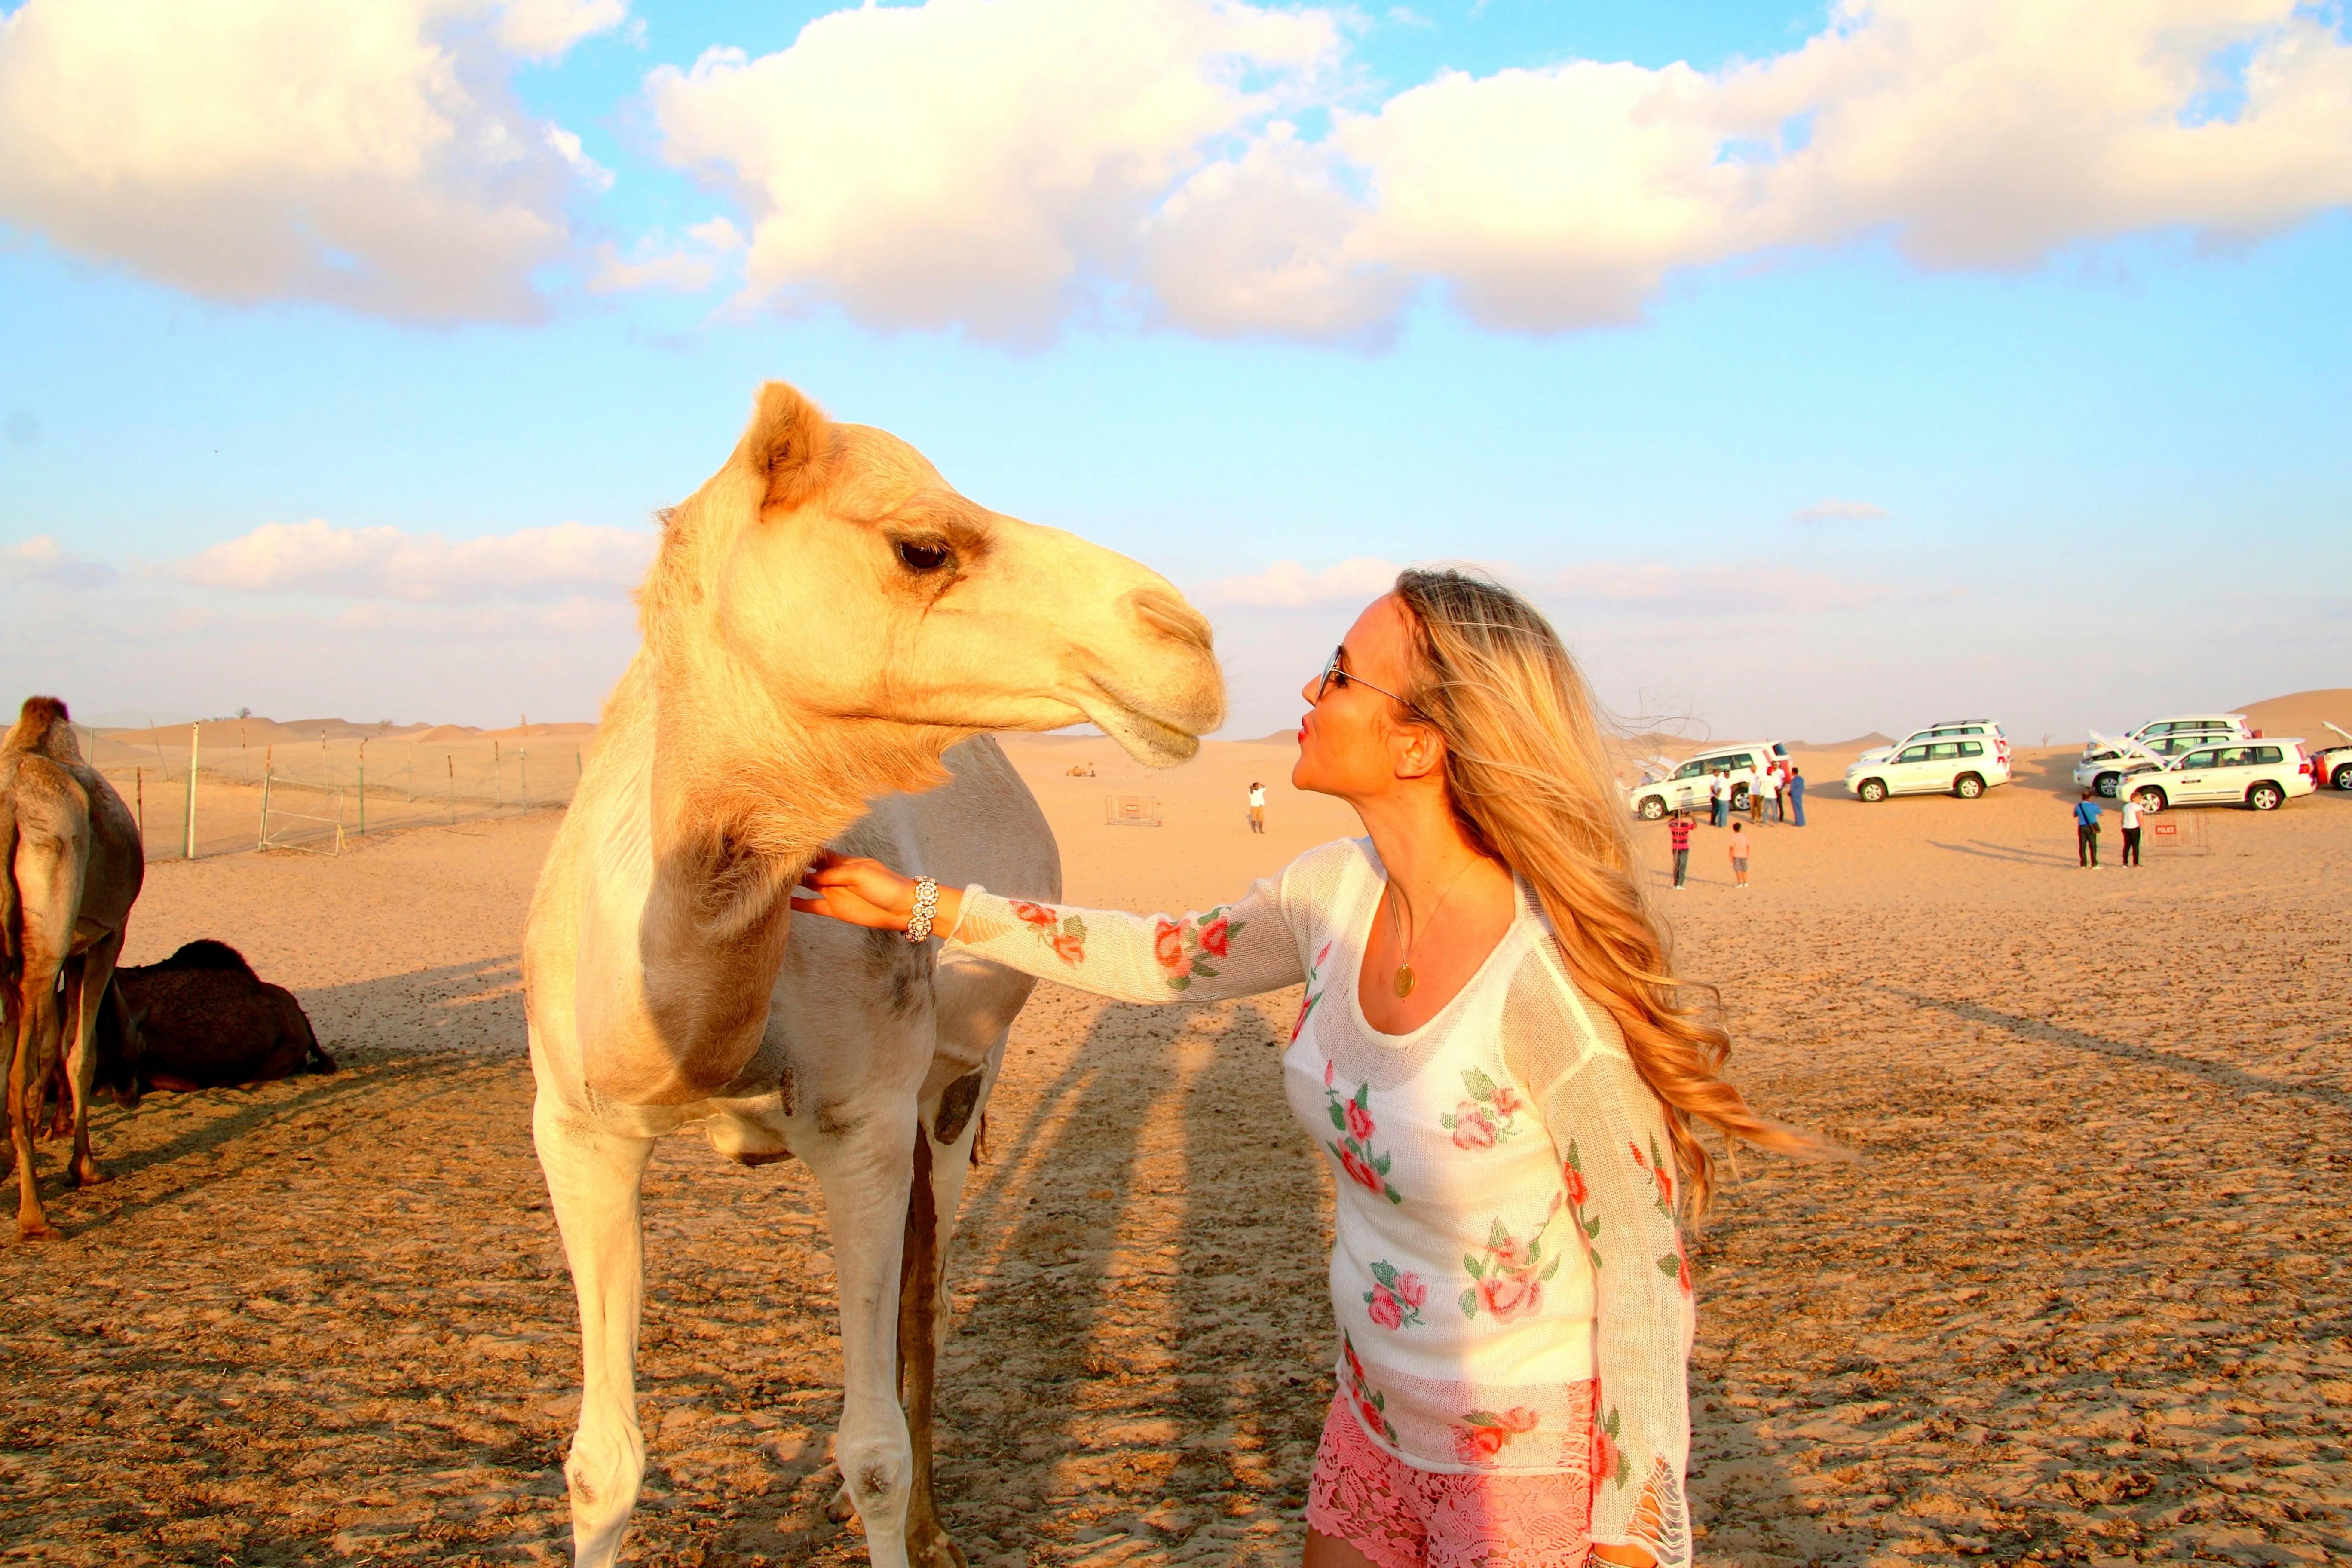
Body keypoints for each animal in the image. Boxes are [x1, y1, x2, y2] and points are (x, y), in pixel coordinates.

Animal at [2, 696, 143, 1239]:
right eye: (139, 1048)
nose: (131, 1096)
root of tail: (10, 806)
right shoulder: (105, 936)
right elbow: (78, 1053)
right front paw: (83, 1166)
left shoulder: (60, 956)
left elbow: (48, 1045)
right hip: (50, 933)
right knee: (21, 1077)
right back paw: (35, 1215)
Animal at [525, 382, 1222, 1568]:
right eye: (922, 547)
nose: (1188, 639)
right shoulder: (576, 1127)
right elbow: (599, 1463)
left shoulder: (861, 1125)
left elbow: (872, 1454)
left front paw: (908, 1511)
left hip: (955, 1086)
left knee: (923, 1295)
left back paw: (941, 1528)